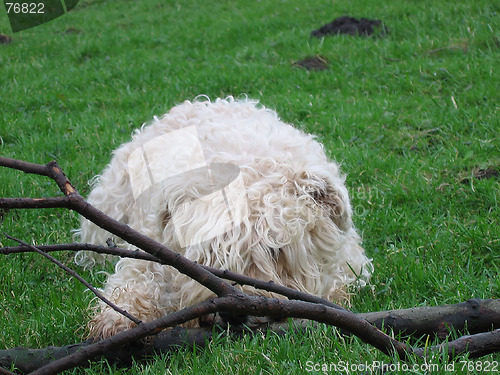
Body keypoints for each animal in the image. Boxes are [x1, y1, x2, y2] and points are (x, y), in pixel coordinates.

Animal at [75, 97, 372, 338]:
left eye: (275, 250)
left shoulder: (348, 262)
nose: (236, 311)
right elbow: (136, 279)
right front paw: (117, 319)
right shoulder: (151, 249)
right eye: (209, 251)